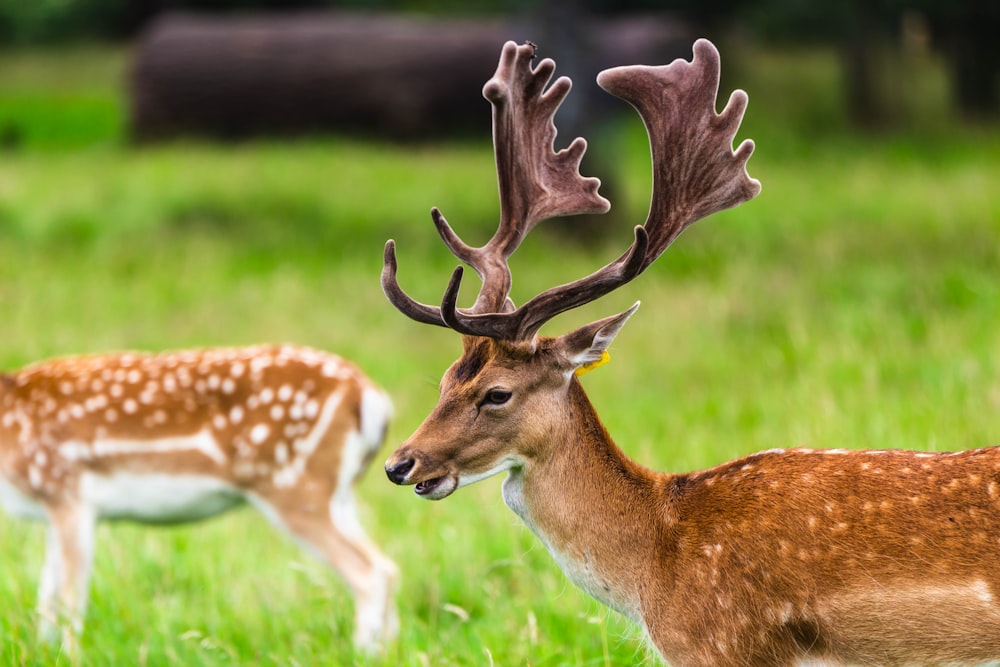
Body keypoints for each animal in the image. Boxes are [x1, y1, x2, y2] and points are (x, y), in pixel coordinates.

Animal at [0, 344, 398, 652]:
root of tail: (372, 398)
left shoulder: (66, 488)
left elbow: (69, 599)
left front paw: (68, 655)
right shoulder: (53, 507)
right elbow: (46, 594)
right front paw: (42, 651)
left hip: (294, 484)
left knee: (368, 570)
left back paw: (361, 654)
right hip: (337, 492)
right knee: (386, 566)